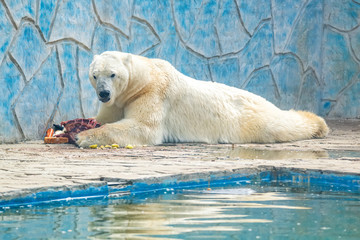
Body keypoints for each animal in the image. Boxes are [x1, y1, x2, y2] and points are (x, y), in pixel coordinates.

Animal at [76, 51, 330, 147]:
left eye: (113, 74)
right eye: (95, 75)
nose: (104, 93)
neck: (145, 79)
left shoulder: (153, 94)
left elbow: (143, 127)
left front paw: (82, 136)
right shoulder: (118, 102)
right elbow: (106, 117)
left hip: (250, 117)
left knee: (279, 125)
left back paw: (318, 124)